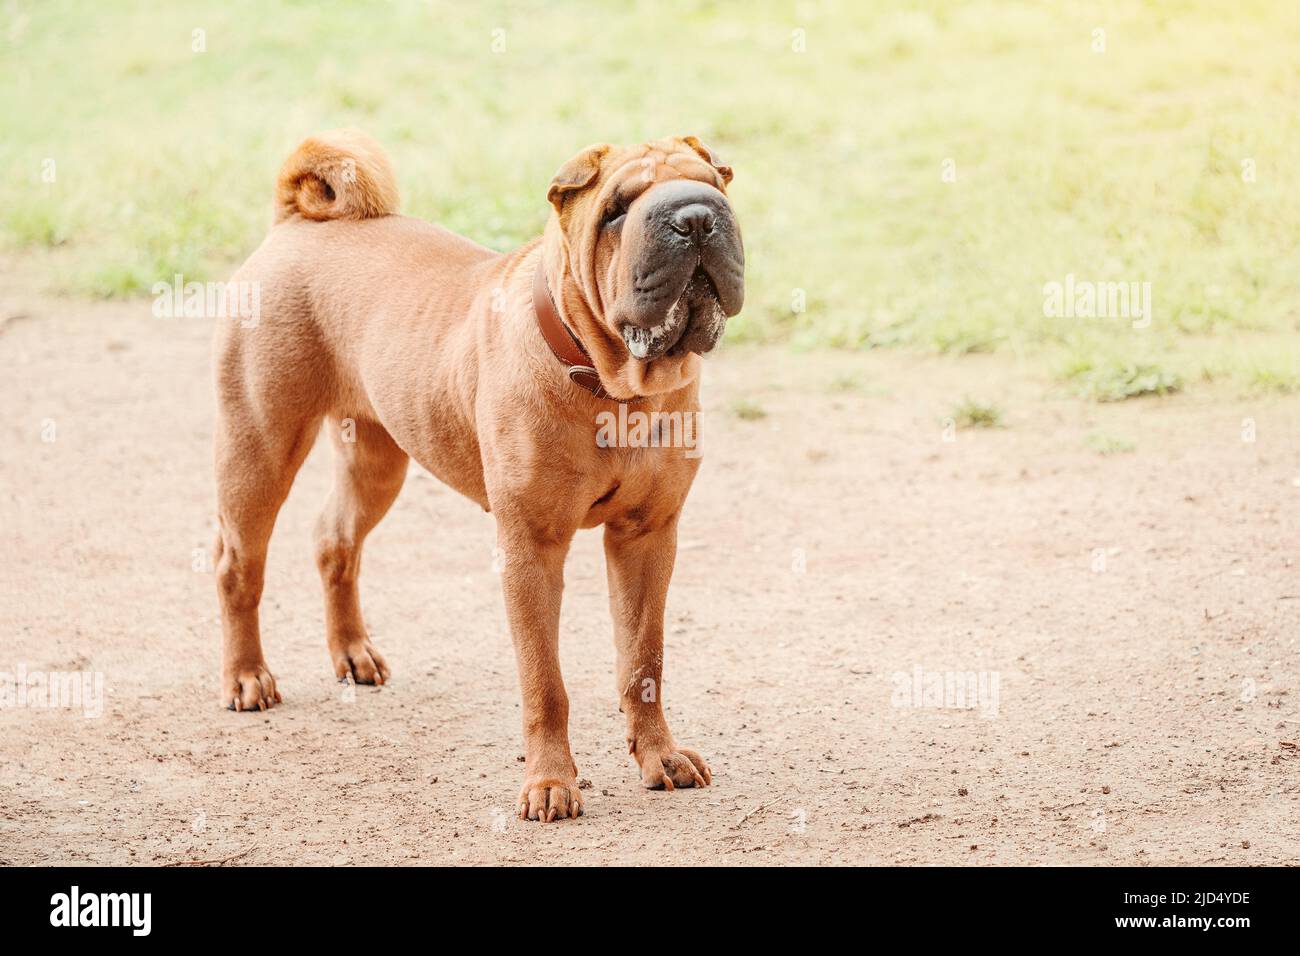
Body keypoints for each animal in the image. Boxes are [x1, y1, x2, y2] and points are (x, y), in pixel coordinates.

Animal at [211, 128, 743, 822]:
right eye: (617, 210)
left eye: (714, 186)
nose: (696, 217)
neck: (616, 386)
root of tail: (296, 223)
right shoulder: (531, 548)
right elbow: (545, 682)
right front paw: (550, 784)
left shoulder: (647, 536)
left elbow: (643, 660)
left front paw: (661, 757)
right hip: (260, 447)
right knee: (237, 567)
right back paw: (246, 677)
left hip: (378, 459)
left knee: (335, 539)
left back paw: (353, 653)